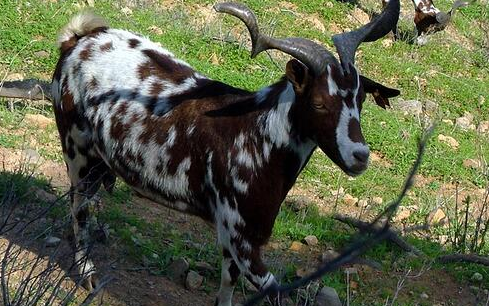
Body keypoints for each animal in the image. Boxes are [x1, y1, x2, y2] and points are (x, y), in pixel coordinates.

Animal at [1, 1, 400, 304]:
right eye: (318, 103)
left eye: (361, 99)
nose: (360, 155)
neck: (257, 134)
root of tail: (78, 39)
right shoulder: (242, 237)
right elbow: (273, 292)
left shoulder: (233, 237)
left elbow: (227, 287)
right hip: (77, 150)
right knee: (78, 205)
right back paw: (87, 272)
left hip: (99, 158)